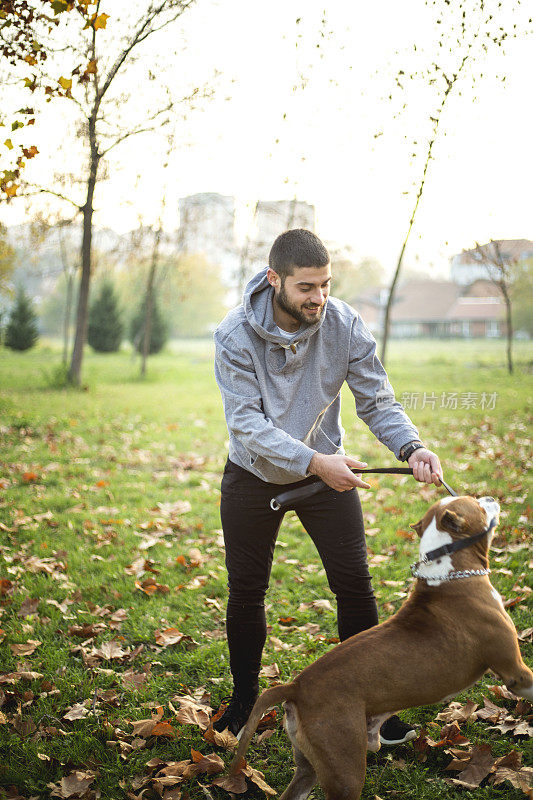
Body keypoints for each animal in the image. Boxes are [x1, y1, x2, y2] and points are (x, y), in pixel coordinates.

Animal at [229, 496, 532, 800]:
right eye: (477, 504)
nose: (491, 498)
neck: (451, 574)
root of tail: (296, 686)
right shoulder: (515, 672)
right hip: (345, 768)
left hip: (311, 764)